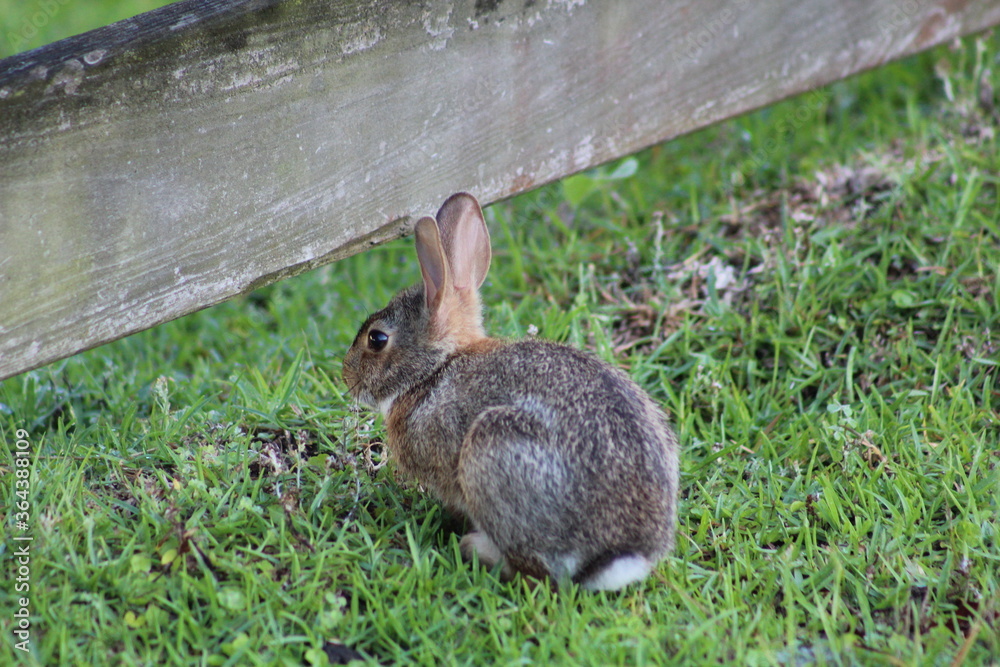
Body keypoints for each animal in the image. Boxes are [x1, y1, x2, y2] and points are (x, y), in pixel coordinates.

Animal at [342, 192, 679, 590]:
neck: (436, 369)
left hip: (494, 452)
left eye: (376, 339)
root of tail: (621, 555)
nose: (347, 376)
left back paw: (475, 548)